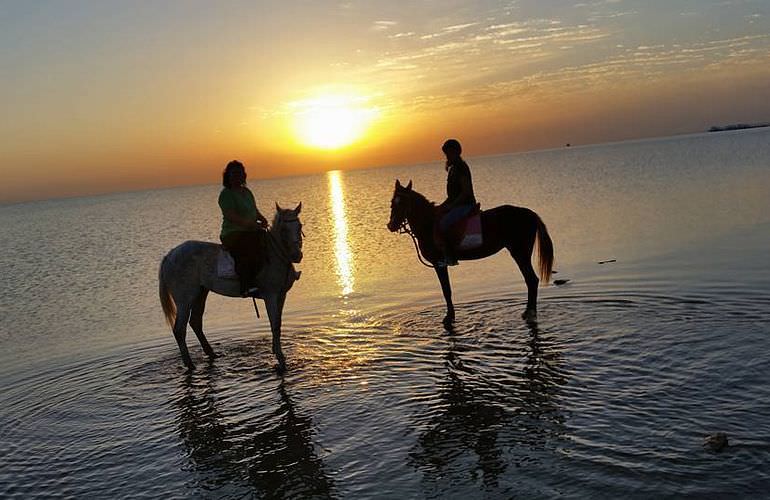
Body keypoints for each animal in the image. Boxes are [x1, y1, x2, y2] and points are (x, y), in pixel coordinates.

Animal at [160, 203, 304, 372]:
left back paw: (212, 354)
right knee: (179, 330)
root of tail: (169, 255)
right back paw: (190, 365)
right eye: (283, 230)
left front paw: (276, 351)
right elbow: (274, 324)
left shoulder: (281, 295)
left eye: (299, 226)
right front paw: (281, 361)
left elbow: (278, 324)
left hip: (201, 293)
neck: (274, 253)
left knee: (195, 322)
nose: (296, 256)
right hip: (185, 300)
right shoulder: (271, 295)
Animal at [388, 180, 548, 324]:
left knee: (531, 280)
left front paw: (449, 317)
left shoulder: (439, 264)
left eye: (402, 203)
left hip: (520, 253)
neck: (429, 225)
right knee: (530, 280)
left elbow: (446, 290)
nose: (391, 225)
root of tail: (530, 214)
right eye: (392, 202)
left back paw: (530, 313)